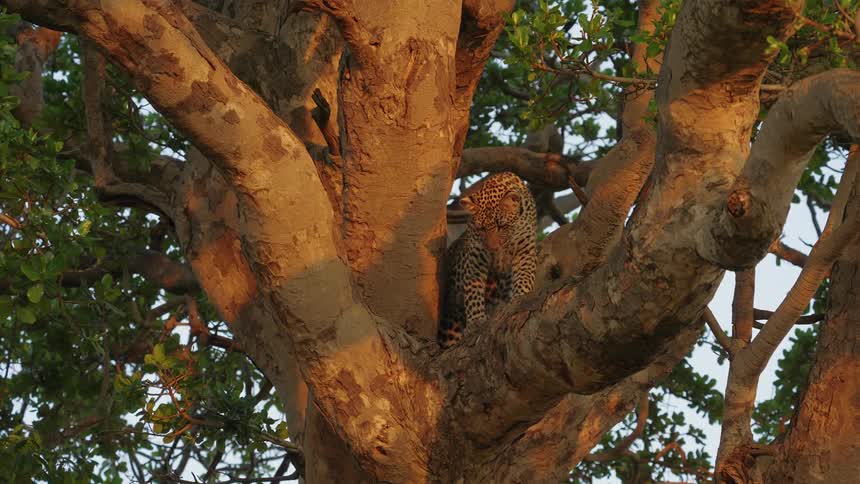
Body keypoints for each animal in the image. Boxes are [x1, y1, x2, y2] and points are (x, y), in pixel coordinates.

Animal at [438, 172, 537, 347]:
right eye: (482, 228)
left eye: (501, 226)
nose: (493, 249)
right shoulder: (476, 257)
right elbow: (473, 290)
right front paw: (476, 321)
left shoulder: (524, 250)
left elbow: (524, 276)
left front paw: (520, 297)